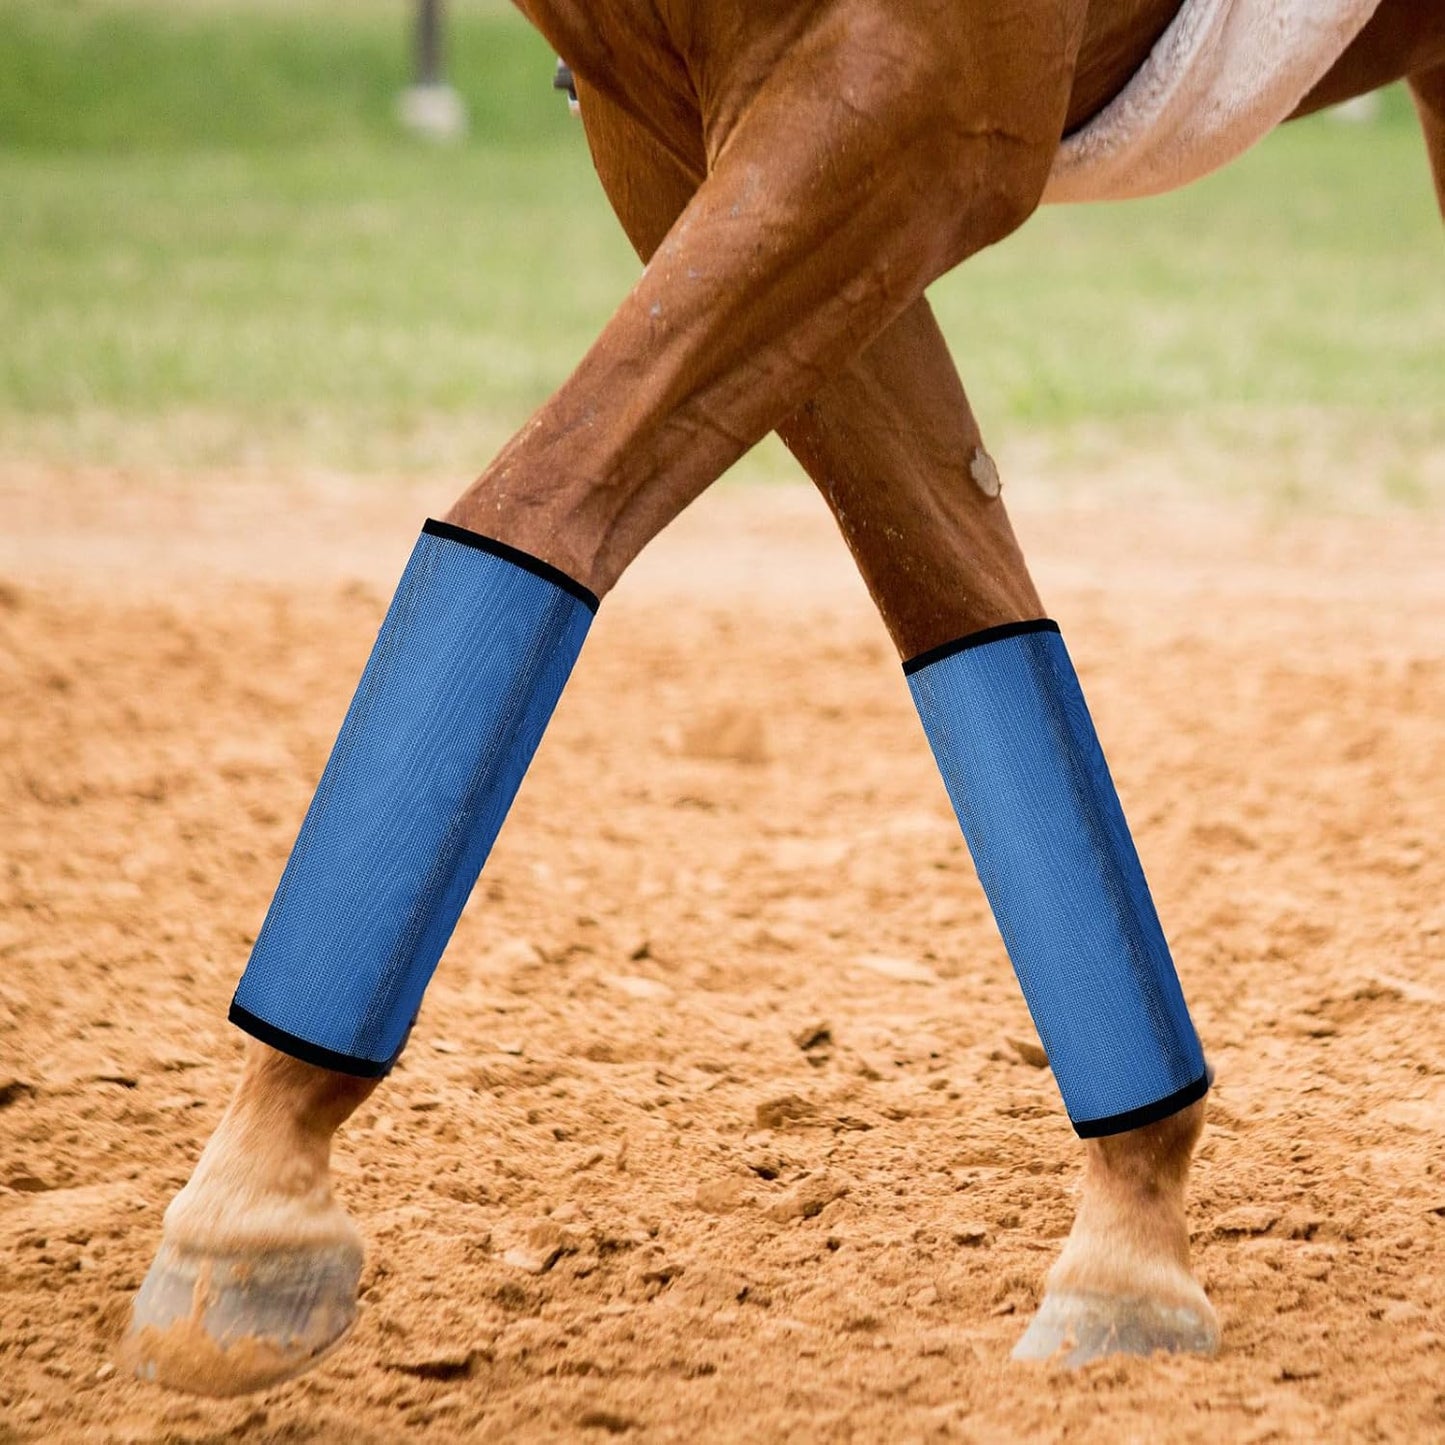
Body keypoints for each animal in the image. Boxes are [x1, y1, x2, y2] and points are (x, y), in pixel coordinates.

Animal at [123, 0, 1445, 1397]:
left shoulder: (910, 106)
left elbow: (539, 505)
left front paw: (256, 1205)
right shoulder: (671, 138)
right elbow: (955, 598)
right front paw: (1129, 1242)